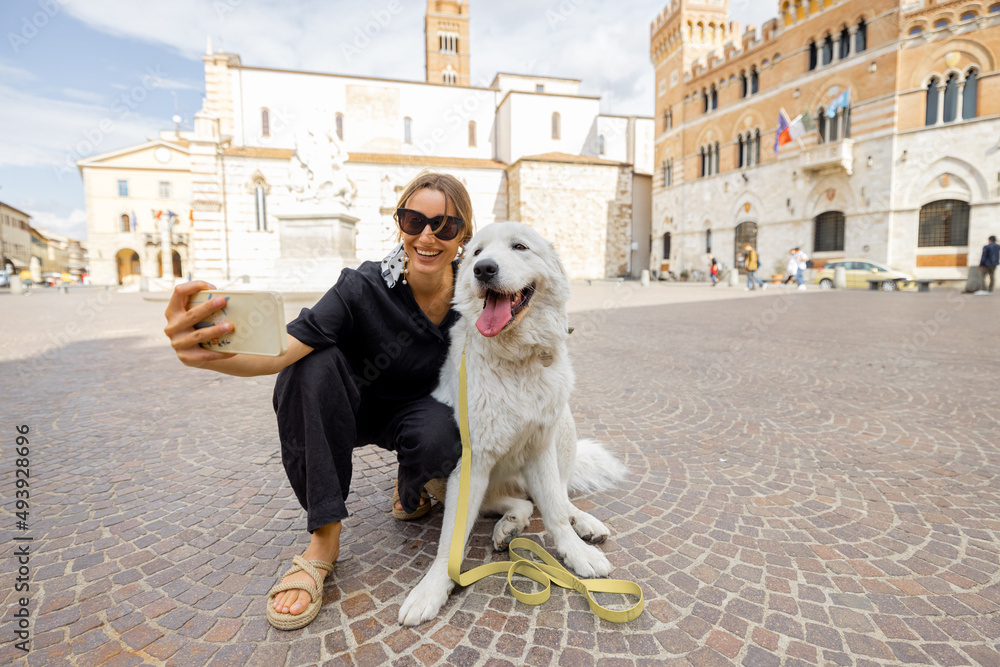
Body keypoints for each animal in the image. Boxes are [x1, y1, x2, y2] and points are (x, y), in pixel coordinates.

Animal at [398, 223, 624, 628]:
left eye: (519, 247)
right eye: (476, 253)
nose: (484, 269)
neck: (515, 359)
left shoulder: (541, 447)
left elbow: (554, 511)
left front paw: (575, 553)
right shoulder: (472, 461)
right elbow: (450, 539)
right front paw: (433, 588)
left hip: (563, 426)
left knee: (556, 496)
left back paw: (580, 523)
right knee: (518, 501)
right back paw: (510, 525)